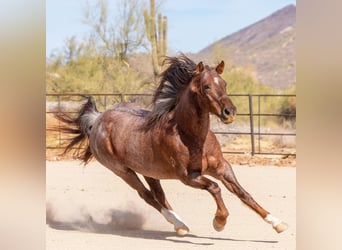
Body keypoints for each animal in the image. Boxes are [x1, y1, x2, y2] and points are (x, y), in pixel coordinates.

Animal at [54, 53, 288, 235]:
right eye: (206, 86)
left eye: (224, 84)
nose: (229, 112)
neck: (192, 138)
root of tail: (98, 120)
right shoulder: (188, 176)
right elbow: (215, 188)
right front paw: (219, 222)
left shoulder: (222, 167)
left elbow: (243, 194)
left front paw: (277, 223)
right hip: (123, 171)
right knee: (147, 196)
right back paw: (178, 223)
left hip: (148, 170)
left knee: (159, 195)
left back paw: (180, 225)